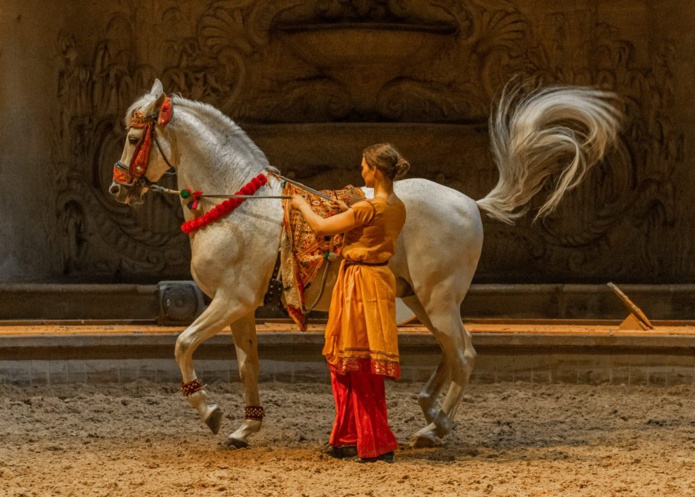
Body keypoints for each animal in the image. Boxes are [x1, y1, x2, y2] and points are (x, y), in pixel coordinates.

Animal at [110, 79, 621, 448]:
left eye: (134, 137)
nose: (119, 188)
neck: (239, 202)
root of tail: (470, 204)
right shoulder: (241, 308)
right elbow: (246, 367)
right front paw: (243, 429)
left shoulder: (231, 301)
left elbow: (182, 345)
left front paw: (211, 414)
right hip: (422, 300)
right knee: (455, 351)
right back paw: (429, 410)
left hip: (438, 300)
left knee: (464, 354)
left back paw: (434, 429)